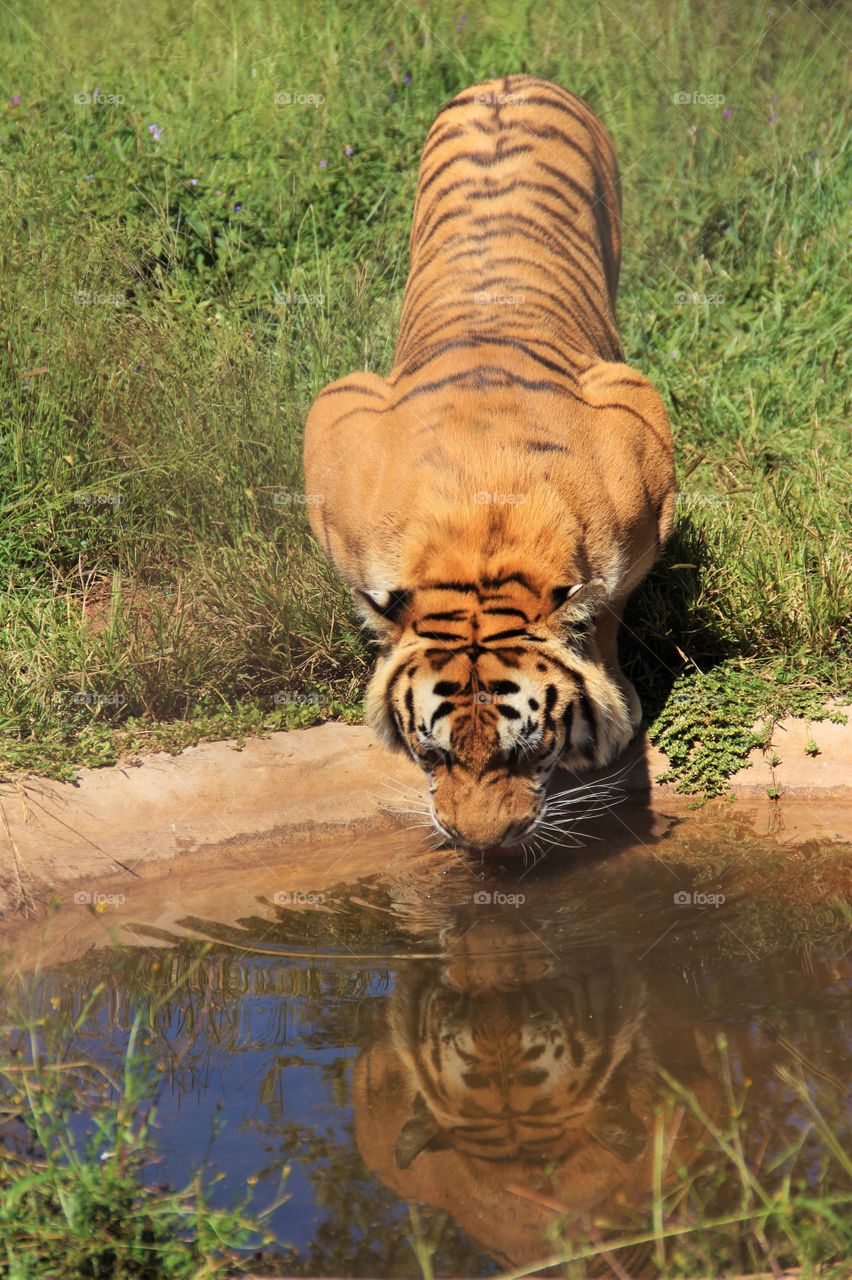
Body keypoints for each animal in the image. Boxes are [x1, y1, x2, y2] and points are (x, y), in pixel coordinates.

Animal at [301, 70, 675, 849]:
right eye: (431, 751)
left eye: (527, 750)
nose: (480, 846)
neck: (484, 538)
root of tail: (510, 79)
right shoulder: (334, 424)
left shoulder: (642, 451)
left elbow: (611, 611)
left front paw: (619, 705)